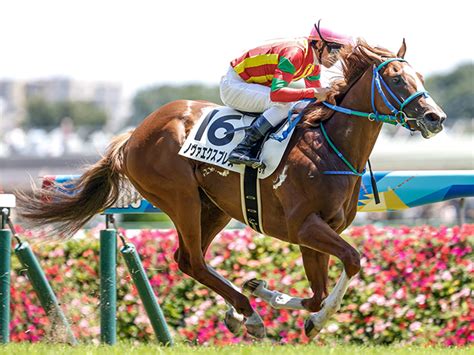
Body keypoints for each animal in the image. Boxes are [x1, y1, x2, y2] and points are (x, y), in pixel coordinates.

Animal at [18, 39, 446, 340]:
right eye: (396, 79)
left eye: (423, 79)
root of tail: (133, 135)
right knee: (192, 260)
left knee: (190, 260)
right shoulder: (305, 227)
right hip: (181, 199)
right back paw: (249, 314)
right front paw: (313, 321)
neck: (329, 145)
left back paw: (240, 310)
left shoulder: (318, 233)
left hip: (214, 208)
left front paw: (267, 291)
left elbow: (318, 292)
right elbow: (352, 263)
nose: (435, 117)